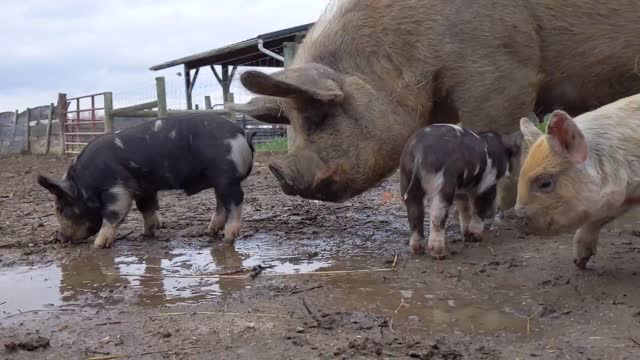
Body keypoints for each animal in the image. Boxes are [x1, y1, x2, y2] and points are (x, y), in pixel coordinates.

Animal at [37, 114, 255, 249]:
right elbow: (146, 208)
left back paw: (227, 238)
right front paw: (147, 234)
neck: (84, 183)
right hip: (219, 181)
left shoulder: (117, 188)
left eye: (62, 209)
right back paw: (210, 232)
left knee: (235, 202)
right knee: (221, 204)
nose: (59, 238)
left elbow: (113, 214)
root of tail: (242, 133)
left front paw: (98, 245)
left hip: (227, 177)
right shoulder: (145, 188)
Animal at [230, 0, 640, 208]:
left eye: (318, 116)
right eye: (291, 122)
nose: (280, 171)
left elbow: (497, 141)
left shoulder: (502, 72)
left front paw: (495, 212)